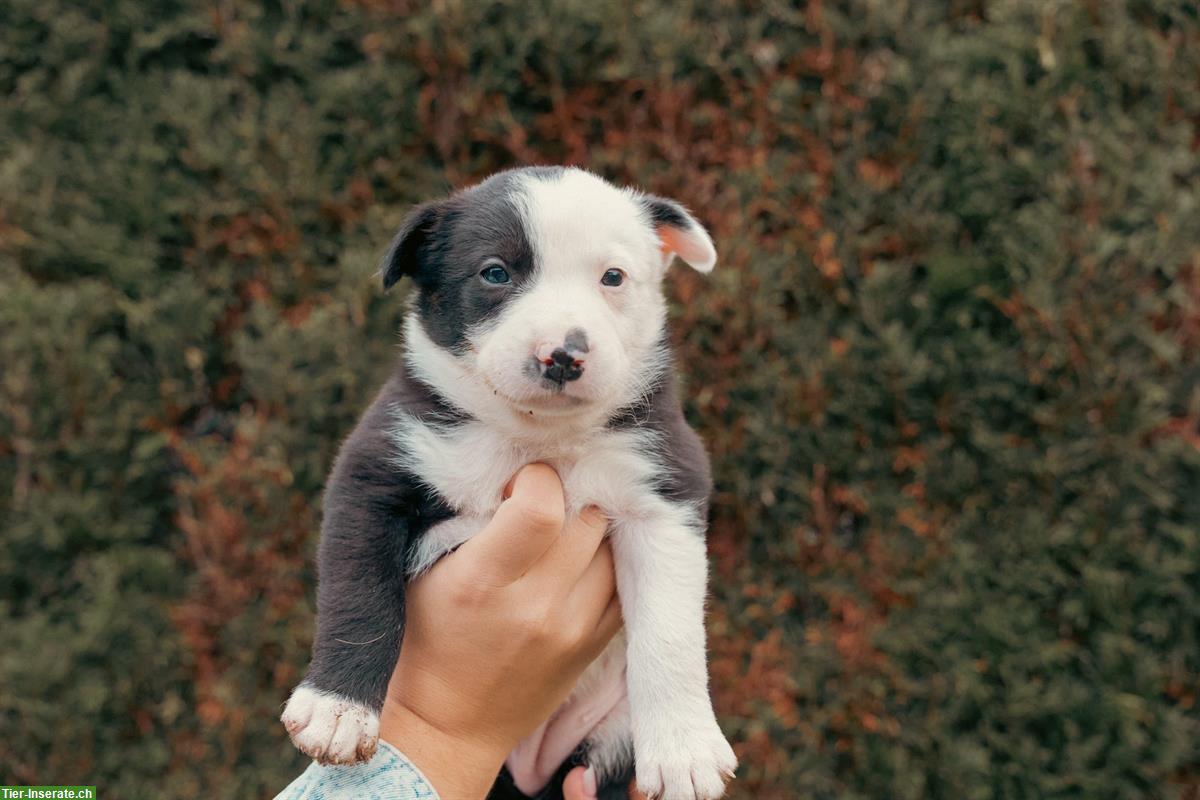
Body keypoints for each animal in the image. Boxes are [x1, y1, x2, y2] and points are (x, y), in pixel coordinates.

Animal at [280, 167, 734, 800]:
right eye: (495, 273)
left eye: (613, 277)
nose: (564, 354)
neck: (535, 437)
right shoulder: (374, 472)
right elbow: (361, 594)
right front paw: (337, 711)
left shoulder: (662, 492)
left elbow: (668, 631)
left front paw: (683, 751)